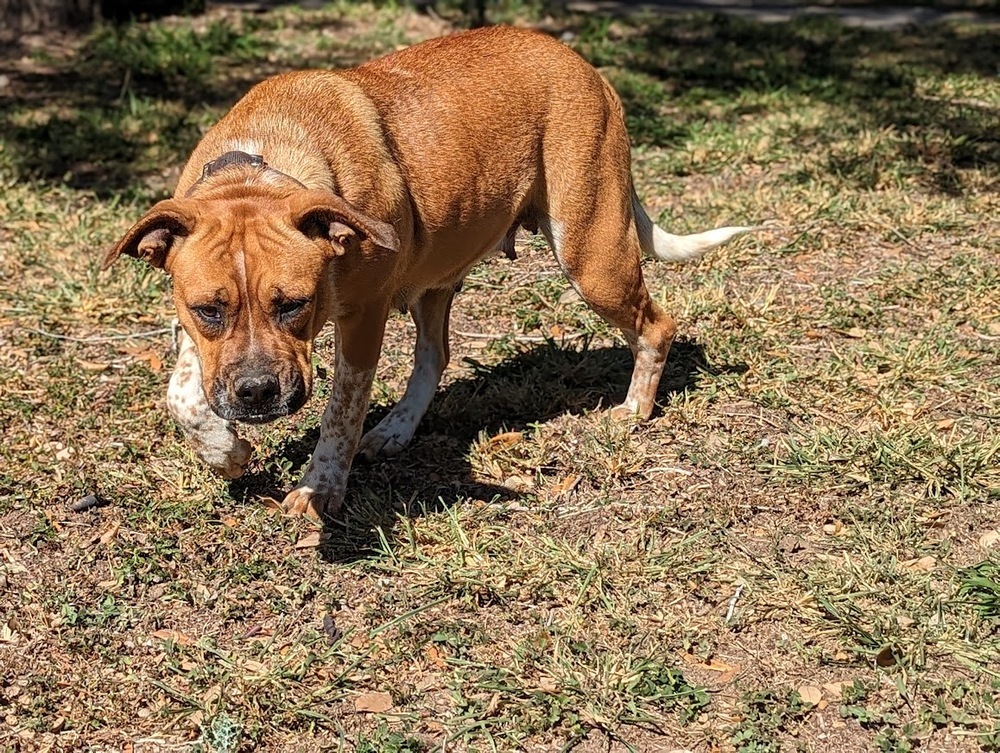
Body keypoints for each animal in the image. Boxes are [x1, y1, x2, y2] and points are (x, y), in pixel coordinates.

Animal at [105, 26, 756, 520]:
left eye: (295, 304)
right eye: (208, 310)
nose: (258, 394)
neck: (262, 165)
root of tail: (583, 64)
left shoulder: (361, 323)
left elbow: (340, 414)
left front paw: (319, 488)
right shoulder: (193, 328)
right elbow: (182, 394)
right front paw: (226, 452)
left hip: (592, 255)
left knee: (656, 325)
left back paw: (633, 412)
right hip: (437, 282)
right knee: (435, 356)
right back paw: (396, 429)